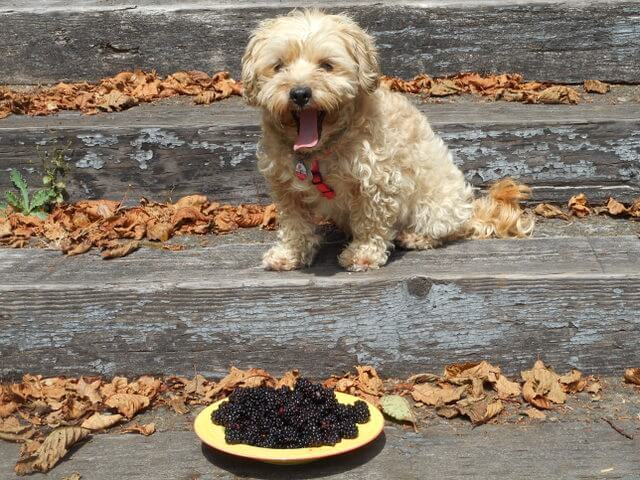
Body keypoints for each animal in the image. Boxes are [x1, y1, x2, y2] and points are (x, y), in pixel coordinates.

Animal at [242, 8, 532, 270]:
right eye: (279, 66)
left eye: (326, 65)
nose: (300, 93)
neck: (320, 152)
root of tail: (470, 211)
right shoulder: (285, 188)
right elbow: (295, 224)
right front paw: (289, 254)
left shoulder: (377, 182)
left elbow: (371, 223)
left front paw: (363, 255)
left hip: (435, 203)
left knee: (446, 230)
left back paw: (416, 237)